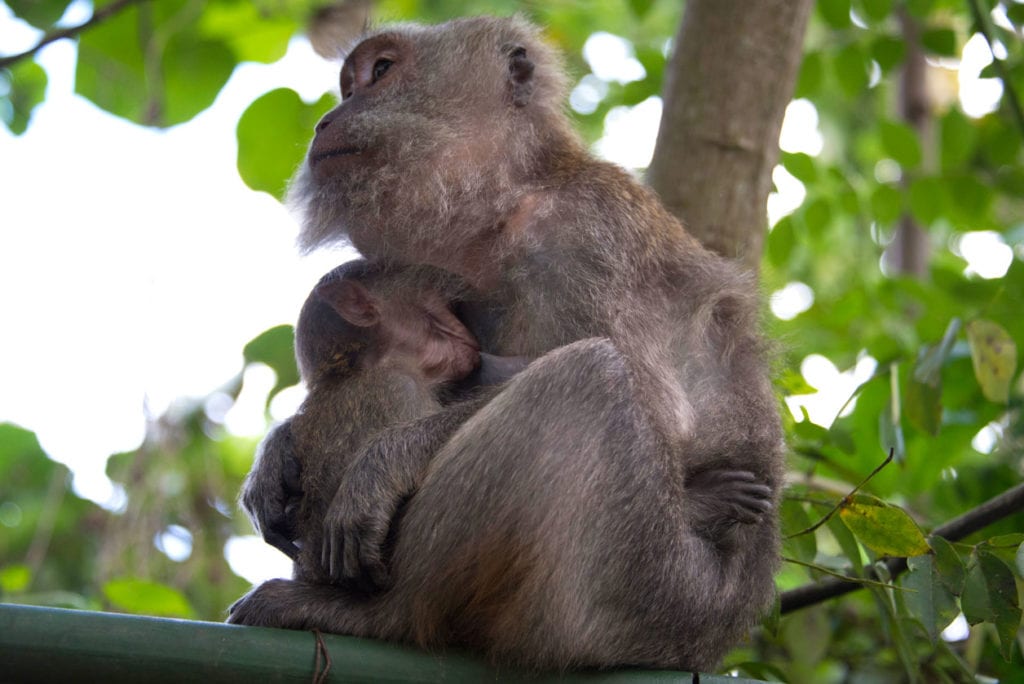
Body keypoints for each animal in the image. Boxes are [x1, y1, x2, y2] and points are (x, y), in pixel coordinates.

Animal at [239, 15, 782, 671]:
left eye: (381, 71)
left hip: (639, 591)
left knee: (590, 379)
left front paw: (385, 461)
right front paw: (279, 449)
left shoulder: (583, 236)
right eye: (349, 84)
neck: (507, 200)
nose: (324, 121)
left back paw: (380, 615)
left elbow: (662, 412)